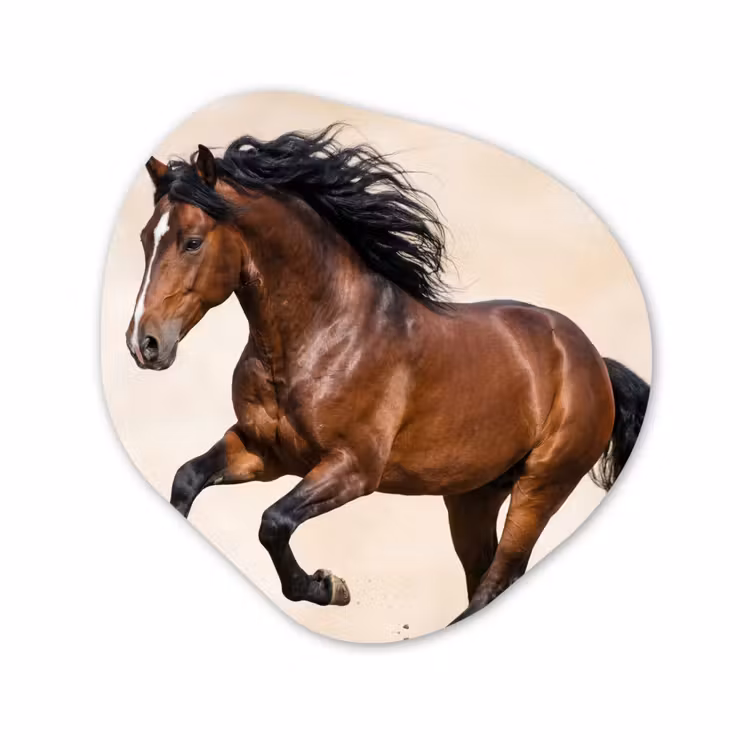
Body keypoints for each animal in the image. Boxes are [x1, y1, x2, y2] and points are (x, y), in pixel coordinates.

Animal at [126, 125, 650, 626]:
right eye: (146, 238)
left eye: (192, 242)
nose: (143, 344)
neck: (322, 333)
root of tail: (594, 361)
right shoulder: (263, 451)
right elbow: (187, 479)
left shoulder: (354, 468)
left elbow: (273, 522)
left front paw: (329, 587)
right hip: (473, 497)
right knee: (486, 575)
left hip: (541, 486)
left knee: (498, 578)